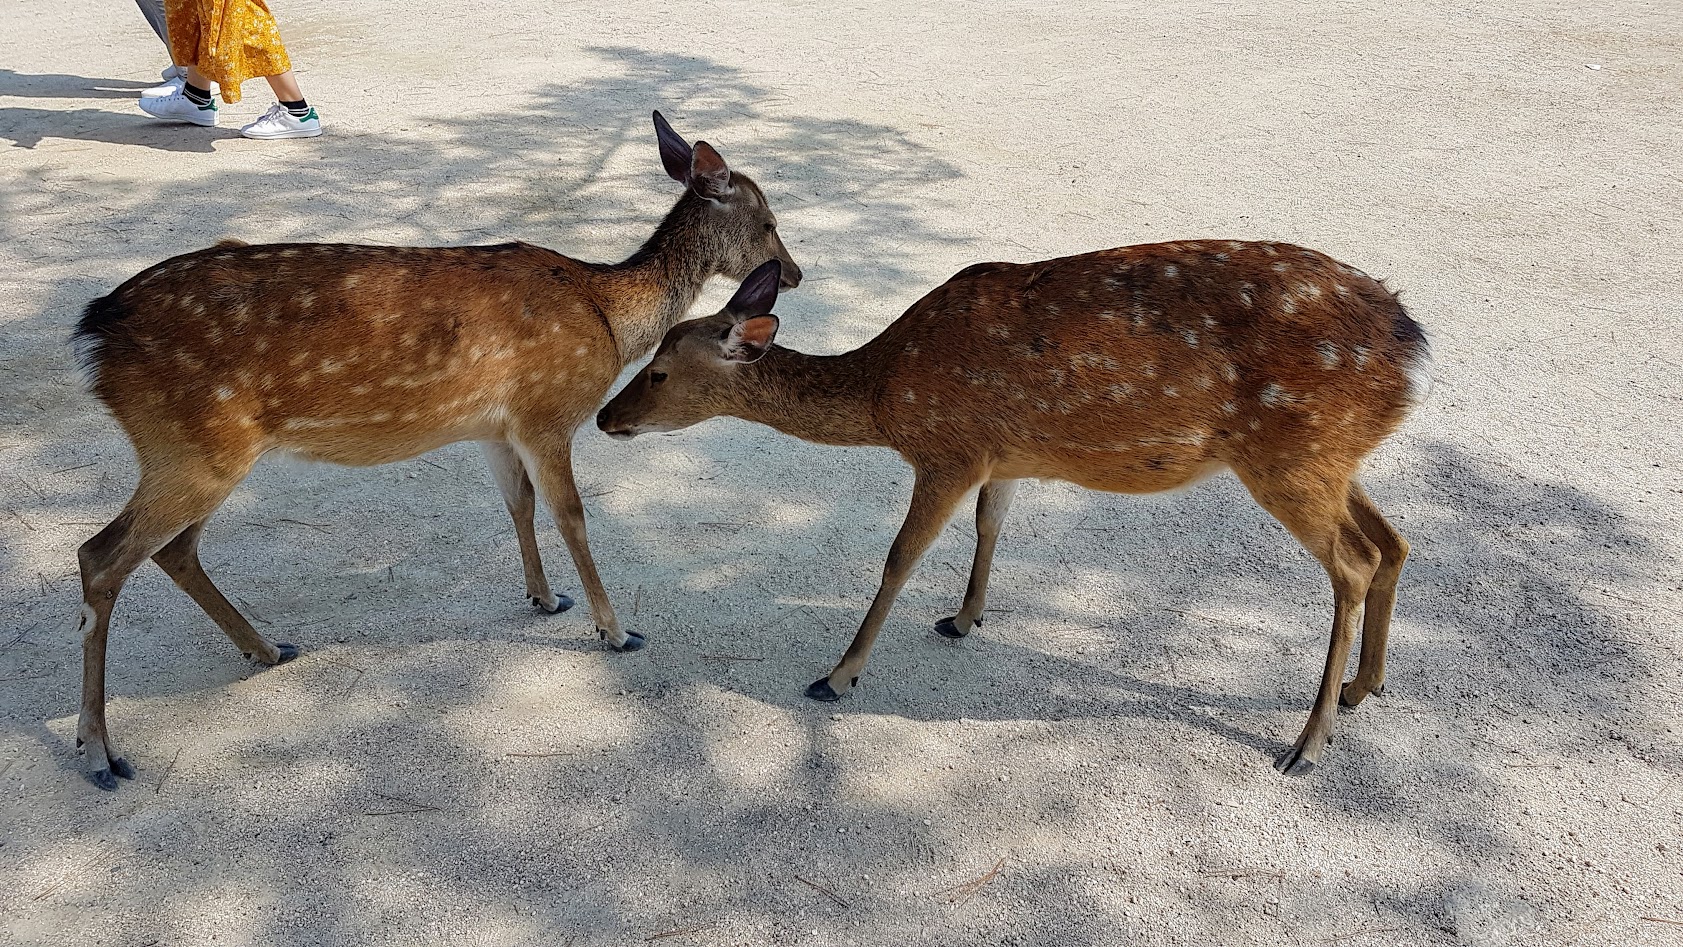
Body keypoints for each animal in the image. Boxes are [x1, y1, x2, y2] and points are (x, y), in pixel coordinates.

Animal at [67, 109, 801, 793]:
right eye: (767, 220)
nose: (792, 272)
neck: (608, 315)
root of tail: (94, 332)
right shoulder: (549, 412)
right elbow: (571, 516)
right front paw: (616, 631)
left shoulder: (495, 428)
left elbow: (518, 505)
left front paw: (545, 598)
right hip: (195, 446)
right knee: (100, 555)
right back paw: (100, 751)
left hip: (196, 451)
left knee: (172, 550)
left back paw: (268, 648)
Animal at [599, 247, 1427, 777]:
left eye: (659, 370)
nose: (606, 417)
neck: (887, 394)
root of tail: (1412, 349)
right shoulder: (1003, 457)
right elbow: (989, 524)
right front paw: (965, 618)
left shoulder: (949, 449)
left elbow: (899, 557)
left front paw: (837, 674)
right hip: (1329, 457)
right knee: (1393, 542)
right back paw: (1363, 687)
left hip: (1289, 453)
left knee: (1352, 562)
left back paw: (1305, 743)